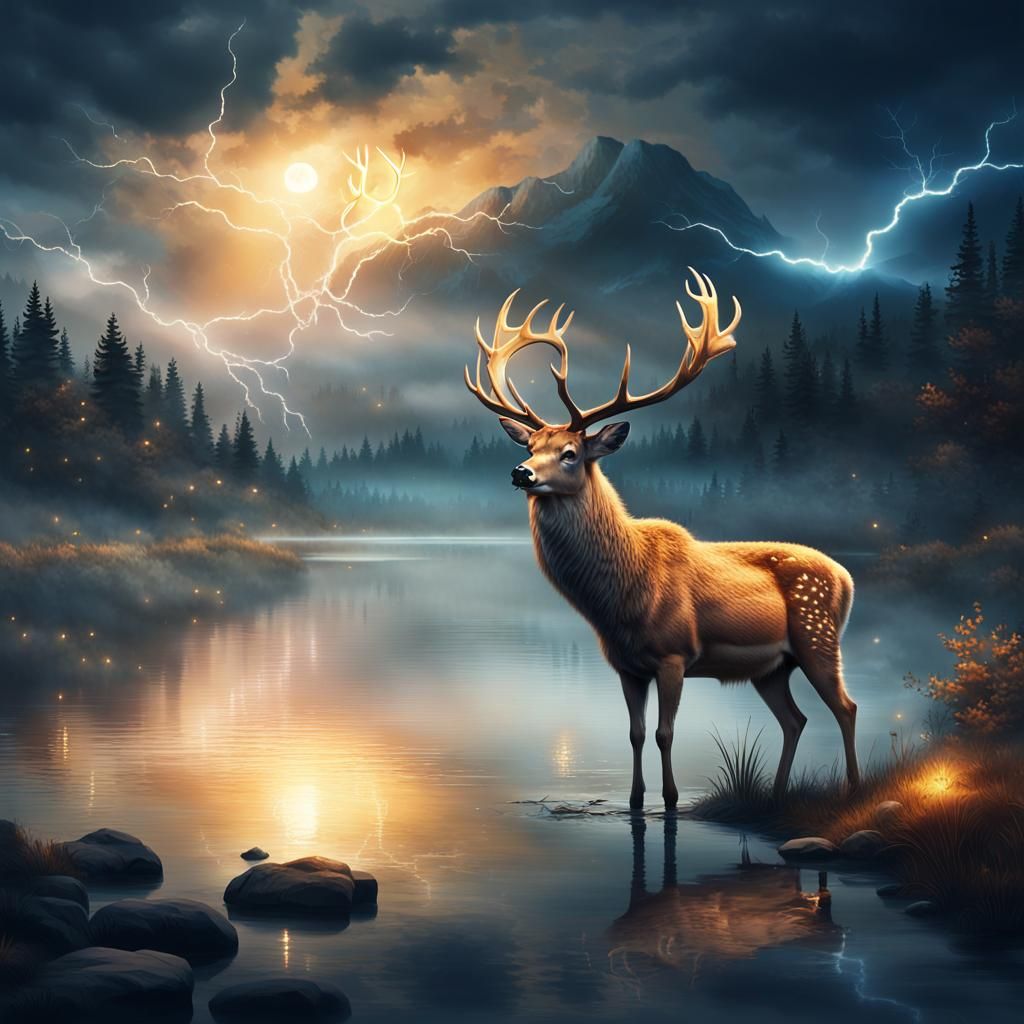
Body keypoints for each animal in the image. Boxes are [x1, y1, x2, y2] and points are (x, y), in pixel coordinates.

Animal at [464, 269, 860, 810]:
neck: (621, 598)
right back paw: (776, 796)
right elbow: (633, 733)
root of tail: (847, 577)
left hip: (818, 636)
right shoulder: (626, 665)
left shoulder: (675, 654)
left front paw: (670, 801)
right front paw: (634, 801)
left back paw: (854, 790)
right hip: (771, 667)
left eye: (570, 453)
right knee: (795, 720)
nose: (520, 472)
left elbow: (664, 734)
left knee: (846, 707)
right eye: (530, 446)